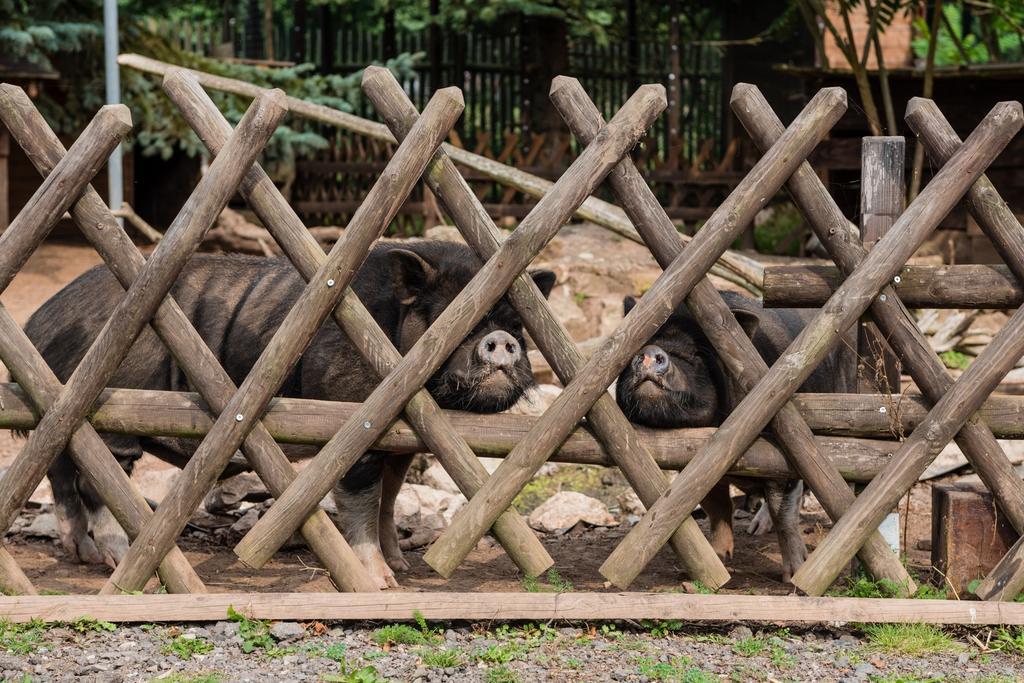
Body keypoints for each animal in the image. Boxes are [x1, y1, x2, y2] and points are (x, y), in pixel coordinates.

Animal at [614, 290, 856, 585]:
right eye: (640, 344)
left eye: (696, 353)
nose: (650, 351)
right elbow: (717, 506)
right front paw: (718, 560)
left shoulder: (782, 453)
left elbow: (783, 513)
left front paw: (792, 577)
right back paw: (754, 528)